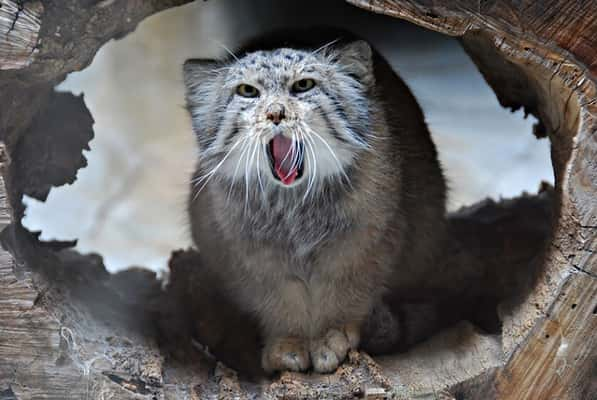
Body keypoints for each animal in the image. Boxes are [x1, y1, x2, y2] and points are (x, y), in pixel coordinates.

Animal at [184, 30, 444, 372]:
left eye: (304, 85)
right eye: (247, 91)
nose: (276, 113)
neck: (294, 207)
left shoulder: (365, 245)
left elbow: (345, 295)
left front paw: (332, 337)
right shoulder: (250, 257)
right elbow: (279, 300)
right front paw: (288, 342)